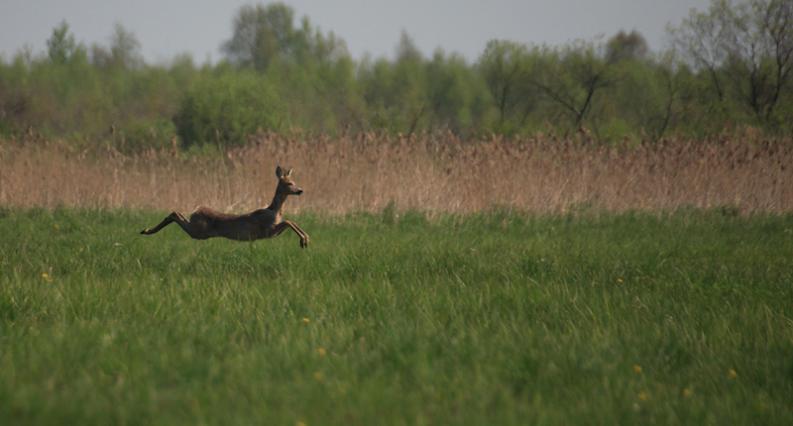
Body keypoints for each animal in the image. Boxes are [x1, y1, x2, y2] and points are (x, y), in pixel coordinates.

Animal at [139, 165, 310, 248]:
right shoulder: (267, 230)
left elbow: (290, 221)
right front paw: (304, 241)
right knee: (175, 214)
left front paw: (306, 239)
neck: (274, 210)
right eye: (289, 183)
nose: (301, 190)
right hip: (199, 231)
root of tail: (196, 210)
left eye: (294, 182)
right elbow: (288, 221)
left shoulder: (273, 232)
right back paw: (147, 230)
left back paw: (146, 230)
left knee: (177, 214)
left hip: (198, 230)